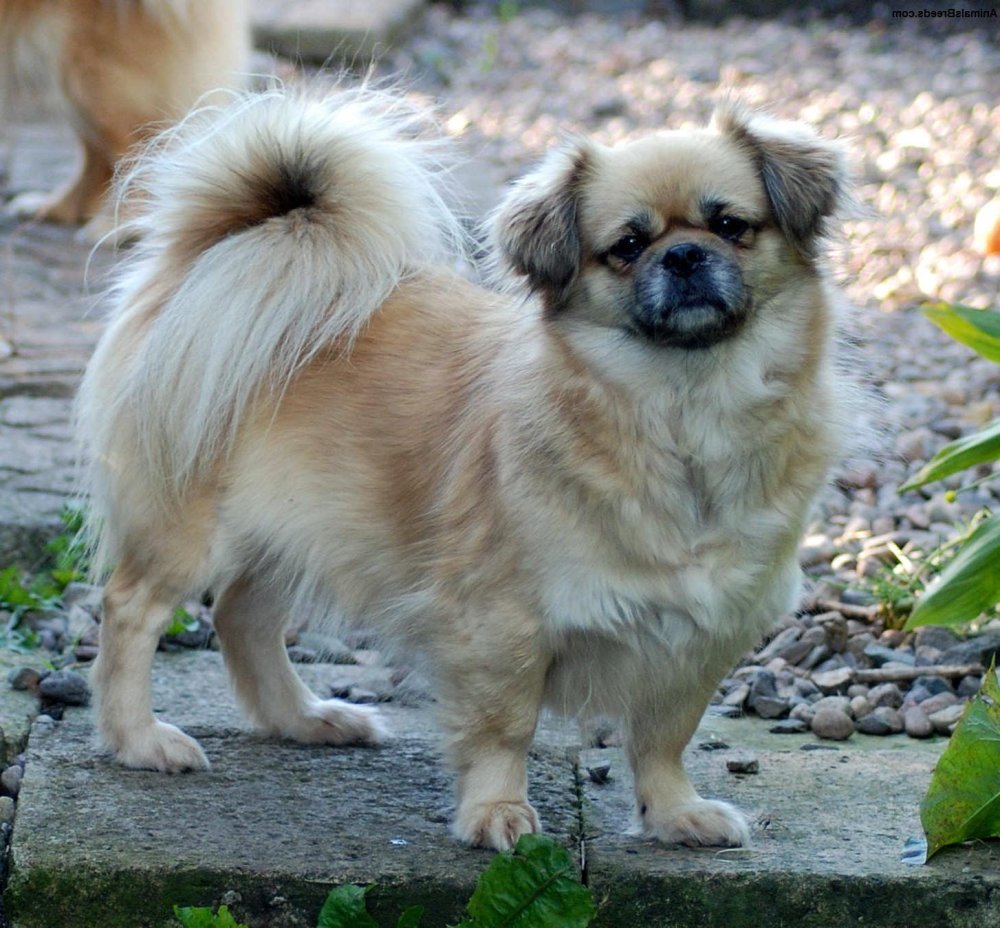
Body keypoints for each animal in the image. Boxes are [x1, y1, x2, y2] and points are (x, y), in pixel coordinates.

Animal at [80, 87, 852, 848]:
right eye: (627, 247)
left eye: (732, 226)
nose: (686, 254)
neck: (684, 412)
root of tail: (219, 257)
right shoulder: (501, 625)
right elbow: (504, 728)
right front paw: (496, 813)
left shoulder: (702, 634)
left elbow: (664, 737)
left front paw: (674, 815)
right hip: (193, 533)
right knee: (132, 612)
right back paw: (140, 740)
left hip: (292, 530)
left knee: (244, 618)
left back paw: (306, 719)